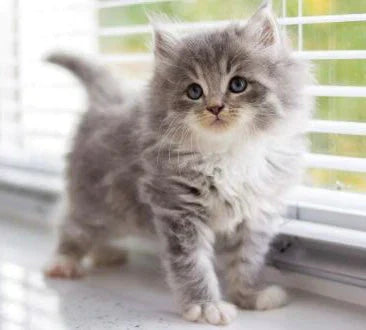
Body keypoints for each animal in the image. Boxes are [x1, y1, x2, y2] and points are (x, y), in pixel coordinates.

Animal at [44, 2, 314, 326]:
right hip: (92, 198)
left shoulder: (256, 215)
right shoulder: (179, 210)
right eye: (194, 91)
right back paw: (64, 261)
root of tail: (108, 102)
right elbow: (193, 265)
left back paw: (107, 253)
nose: (215, 107)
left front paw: (249, 296)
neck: (227, 152)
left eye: (238, 84)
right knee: (71, 224)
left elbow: (246, 261)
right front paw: (206, 306)